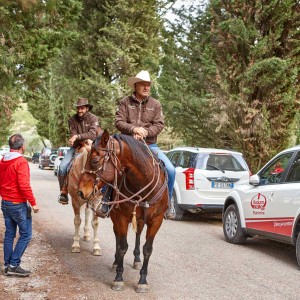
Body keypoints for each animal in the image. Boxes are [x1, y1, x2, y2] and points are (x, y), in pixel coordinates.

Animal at [78, 129, 169, 292]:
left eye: (95, 161)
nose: (81, 192)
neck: (142, 184)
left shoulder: (156, 220)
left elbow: (148, 249)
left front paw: (142, 280)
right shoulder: (121, 217)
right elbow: (122, 246)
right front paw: (119, 278)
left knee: (138, 234)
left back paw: (137, 259)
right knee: (118, 236)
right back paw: (115, 263)